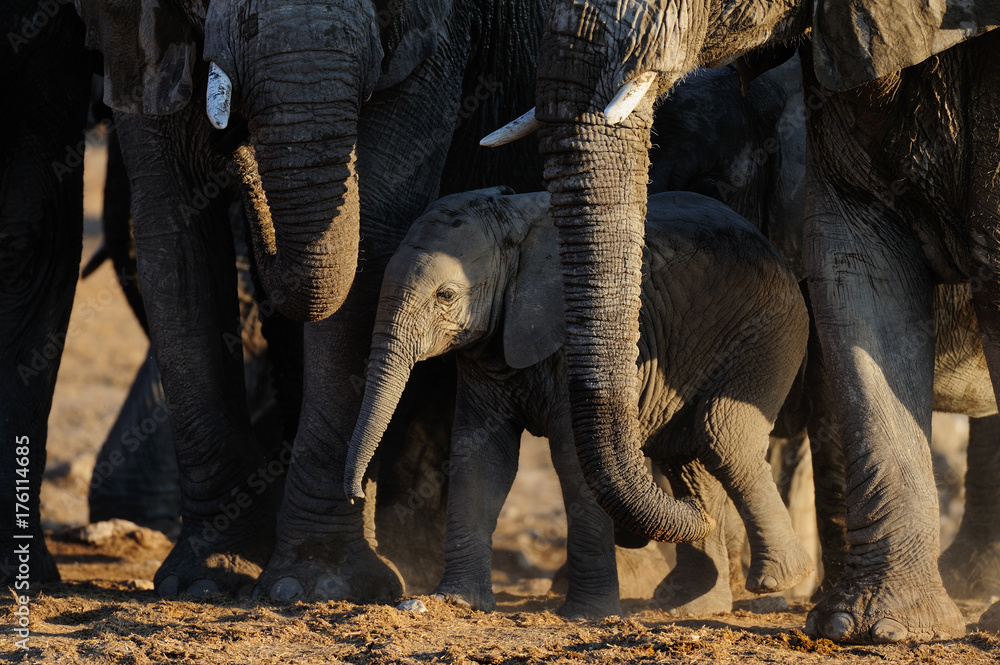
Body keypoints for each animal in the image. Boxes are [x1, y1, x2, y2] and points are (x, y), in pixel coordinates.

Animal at [76, 0, 548, 600]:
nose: (237, 149)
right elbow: (171, 228)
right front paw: (204, 580)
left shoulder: (435, 35)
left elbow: (374, 221)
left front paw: (317, 587)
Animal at [344, 187, 812, 616]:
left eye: (445, 295)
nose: (356, 495)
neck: (516, 223)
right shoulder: (487, 353)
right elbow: (481, 457)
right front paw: (457, 601)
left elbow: (572, 460)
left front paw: (588, 614)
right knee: (685, 456)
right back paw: (690, 598)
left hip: (770, 327)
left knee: (720, 435)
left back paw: (779, 579)